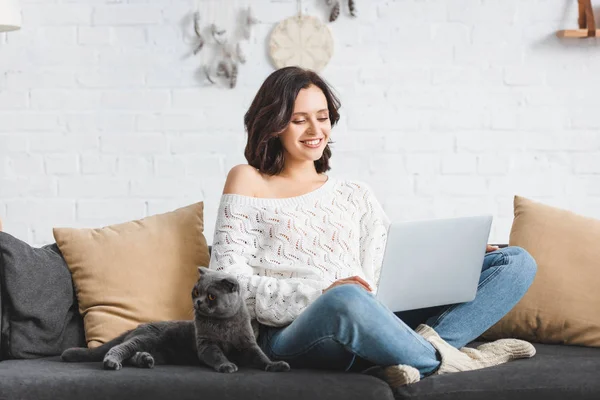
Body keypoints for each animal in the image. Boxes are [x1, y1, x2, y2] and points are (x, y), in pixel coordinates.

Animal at [59, 268, 290, 374]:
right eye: (196, 292)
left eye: (211, 296)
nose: (198, 302)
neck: (223, 325)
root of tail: (137, 327)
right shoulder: (206, 344)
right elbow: (216, 355)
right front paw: (227, 365)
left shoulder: (248, 344)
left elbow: (261, 356)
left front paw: (276, 365)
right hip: (145, 338)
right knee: (118, 348)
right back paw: (112, 362)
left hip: (157, 350)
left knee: (133, 355)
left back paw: (145, 360)